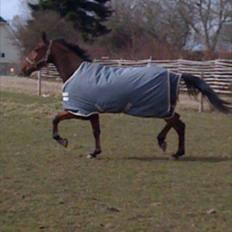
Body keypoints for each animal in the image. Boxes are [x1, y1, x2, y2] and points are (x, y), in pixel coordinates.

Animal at [21, 32, 230, 160]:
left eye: (36, 49)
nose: (23, 68)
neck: (77, 72)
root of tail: (175, 75)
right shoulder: (92, 112)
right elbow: (96, 131)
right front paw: (94, 152)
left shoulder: (79, 111)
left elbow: (56, 119)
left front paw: (62, 140)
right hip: (163, 108)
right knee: (179, 123)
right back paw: (172, 148)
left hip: (160, 108)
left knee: (178, 123)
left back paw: (168, 146)